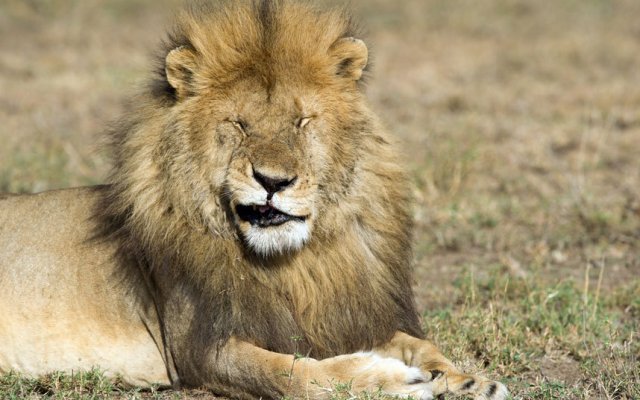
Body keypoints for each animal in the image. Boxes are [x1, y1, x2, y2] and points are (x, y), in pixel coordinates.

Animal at [0, 1, 508, 399]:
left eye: (303, 121)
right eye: (239, 124)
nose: (273, 180)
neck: (294, 264)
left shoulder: (335, 317)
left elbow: (419, 344)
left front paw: (466, 380)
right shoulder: (198, 349)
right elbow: (291, 374)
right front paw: (391, 382)